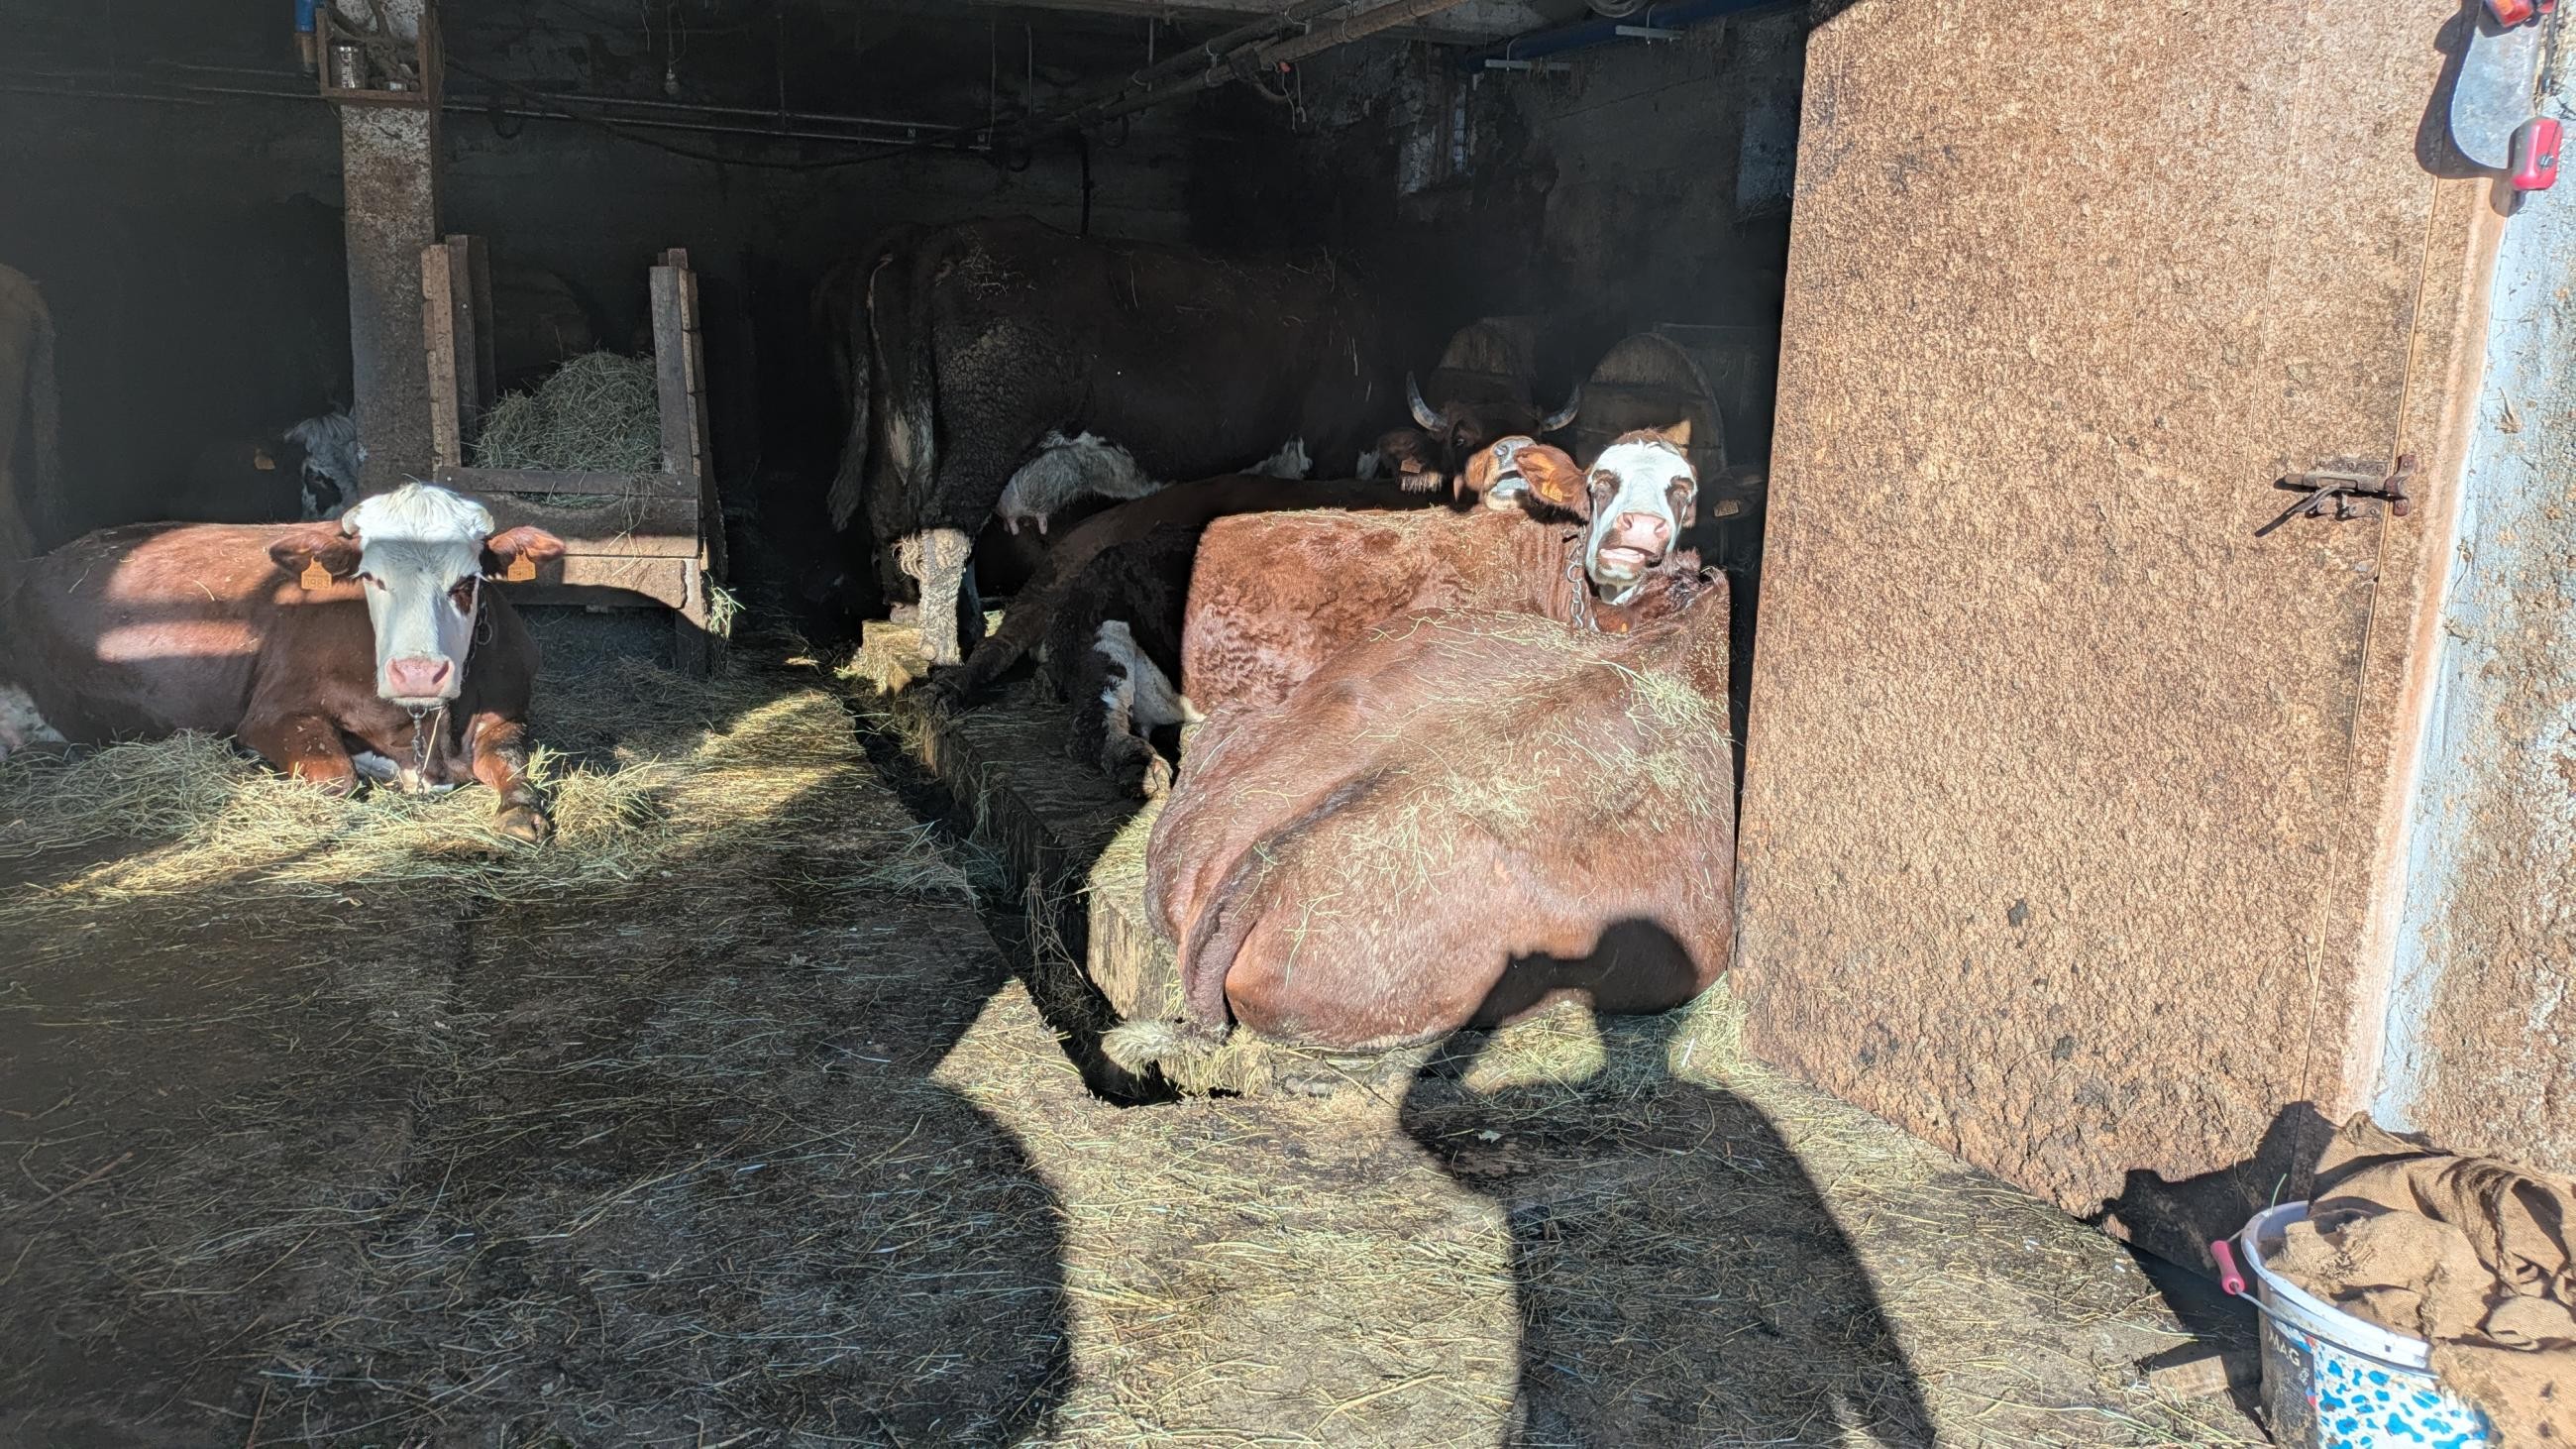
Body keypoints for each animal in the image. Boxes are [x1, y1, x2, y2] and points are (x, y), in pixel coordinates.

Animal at [0, 482, 566, 841]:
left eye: (468, 581)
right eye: (370, 577)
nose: (418, 673)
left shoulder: (509, 709)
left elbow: (510, 760)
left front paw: (520, 810)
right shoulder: (273, 710)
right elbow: (336, 775)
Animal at [822, 216, 1411, 667]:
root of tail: (943, 233)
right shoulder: (1334, 449)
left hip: (898, 436)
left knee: (896, 517)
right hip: (987, 432)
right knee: (947, 530)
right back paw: (942, 651)